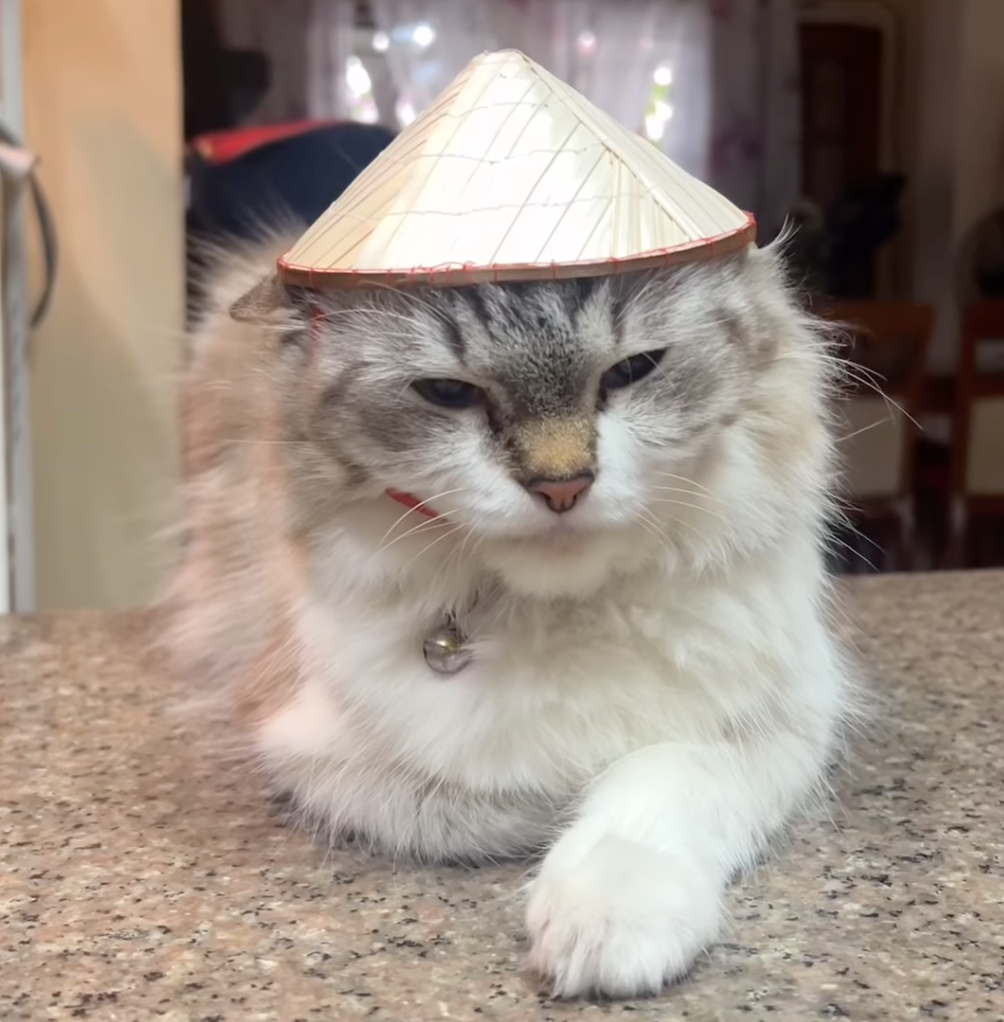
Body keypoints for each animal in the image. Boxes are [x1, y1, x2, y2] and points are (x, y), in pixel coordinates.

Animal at [166, 234, 854, 997]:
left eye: (634, 370)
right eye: (448, 393)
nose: (562, 488)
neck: (560, 611)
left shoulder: (784, 720)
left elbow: (656, 783)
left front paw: (607, 915)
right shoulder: (307, 743)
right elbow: (491, 804)